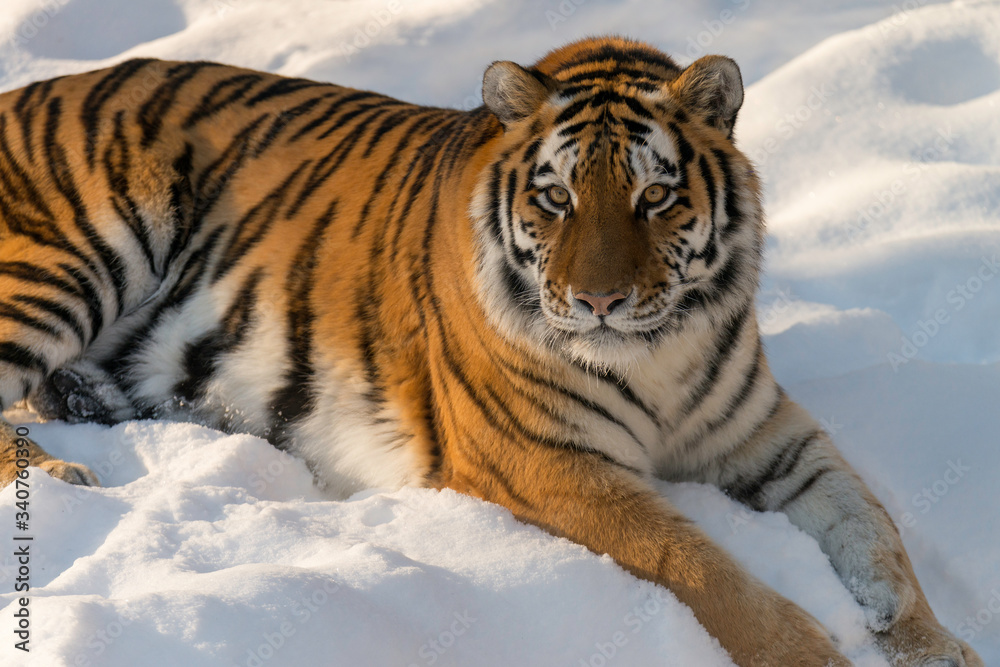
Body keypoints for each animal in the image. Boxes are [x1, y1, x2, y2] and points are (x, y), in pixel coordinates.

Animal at [0, 36, 982, 666]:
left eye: (656, 196)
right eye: (555, 197)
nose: (598, 302)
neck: (658, 354)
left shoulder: (769, 438)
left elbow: (878, 539)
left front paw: (941, 649)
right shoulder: (544, 460)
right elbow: (703, 570)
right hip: (75, 250)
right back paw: (63, 476)